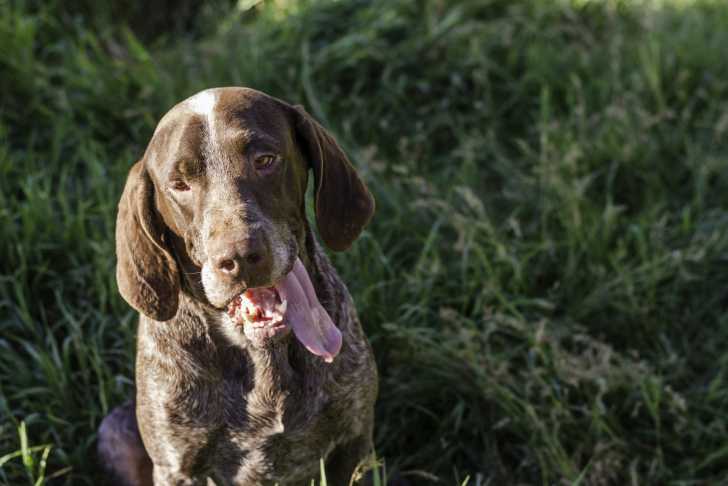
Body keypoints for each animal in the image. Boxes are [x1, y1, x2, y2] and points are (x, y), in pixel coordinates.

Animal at [98, 87, 378, 485]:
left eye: (265, 160)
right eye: (179, 185)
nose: (241, 257)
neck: (262, 352)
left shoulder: (353, 445)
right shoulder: (178, 468)